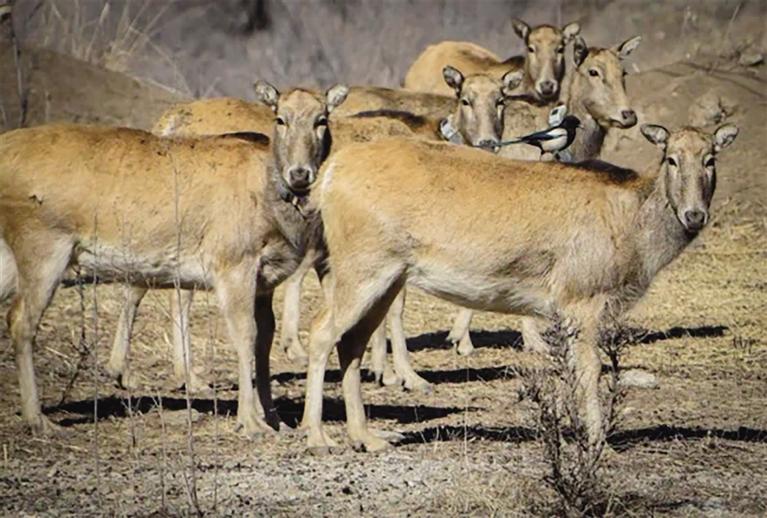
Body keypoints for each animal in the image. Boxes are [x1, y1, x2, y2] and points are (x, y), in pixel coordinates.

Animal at [0, 81, 348, 436]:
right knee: (20, 320)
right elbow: (244, 334)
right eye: (280, 118)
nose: (300, 174)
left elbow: (264, 339)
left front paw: (276, 418)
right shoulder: (234, 264)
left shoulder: (265, 280)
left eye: (321, 119)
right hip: (44, 247)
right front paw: (251, 421)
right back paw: (38, 419)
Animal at [300, 123, 738, 452]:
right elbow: (590, 370)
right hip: (363, 267)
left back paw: (368, 438)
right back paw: (318, 438)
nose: (694, 214)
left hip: (388, 277)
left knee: (351, 343)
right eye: (671, 158)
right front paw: (597, 442)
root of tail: (331, 175)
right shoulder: (581, 297)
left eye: (711, 158)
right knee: (321, 331)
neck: (631, 226)